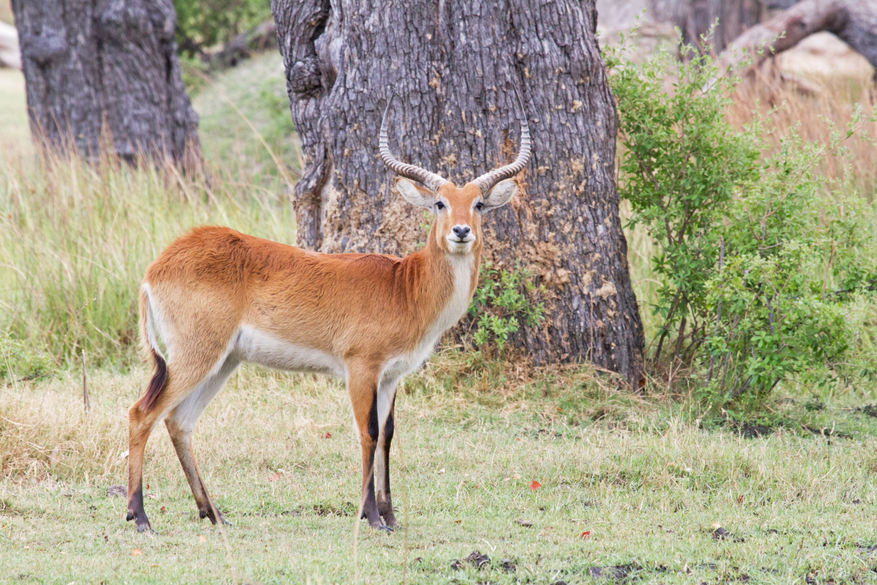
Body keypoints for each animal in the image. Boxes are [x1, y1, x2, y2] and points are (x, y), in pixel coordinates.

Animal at [126, 98, 532, 532]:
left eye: (478, 204)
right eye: (440, 202)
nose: (460, 231)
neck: (405, 287)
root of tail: (158, 266)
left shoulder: (391, 376)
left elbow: (387, 434)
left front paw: (390, 515)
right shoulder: (361, 368)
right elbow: (367, 433)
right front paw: (372, 517)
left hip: (223, 361)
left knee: (179, 421)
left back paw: (214, 514)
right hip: (196, 355)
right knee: (142, 412)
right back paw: (140, 516)